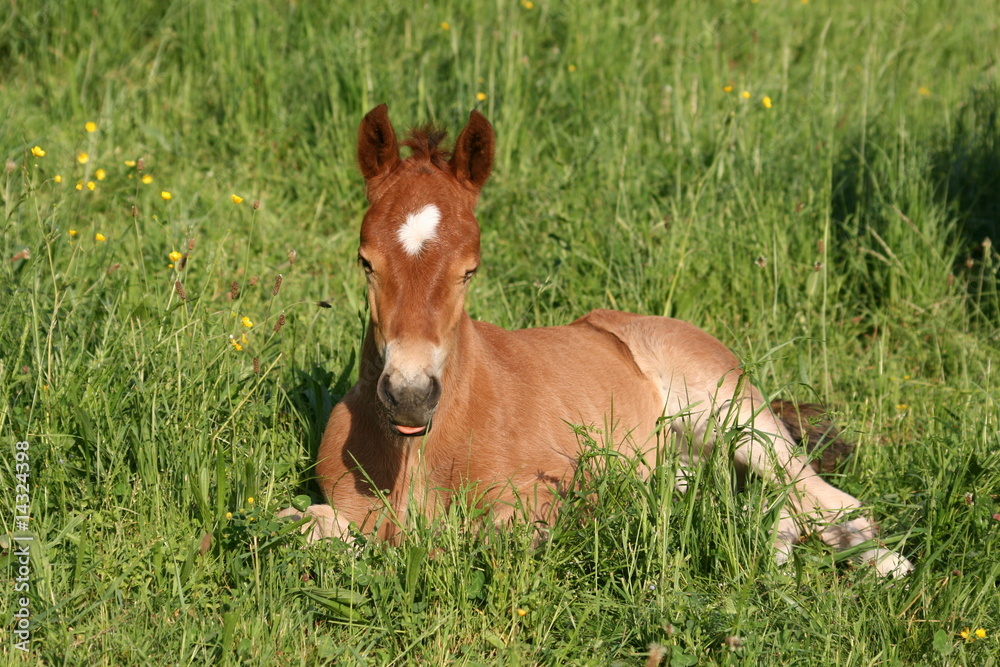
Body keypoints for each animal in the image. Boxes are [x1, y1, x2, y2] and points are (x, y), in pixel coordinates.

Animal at [282, 104, 916, 580]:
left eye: (469, 270)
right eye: (366, 262)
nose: (411, 395)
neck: (420, 453)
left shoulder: (536, 503)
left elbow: (455, 539)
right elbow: (306, 523)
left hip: (737, 416)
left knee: (824, 499)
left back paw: (877, 566)